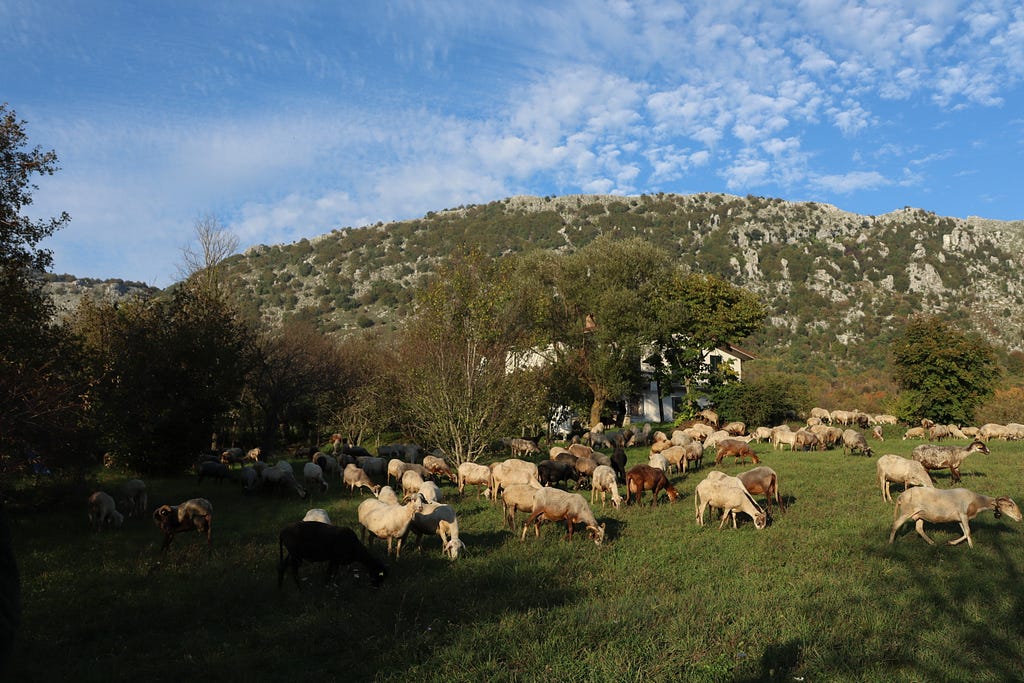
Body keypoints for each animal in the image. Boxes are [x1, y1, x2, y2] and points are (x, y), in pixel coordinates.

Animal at [884, 485, 1019, 548]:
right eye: (1010, 505)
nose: (1020, 517)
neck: (976, 501)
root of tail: (901, 496)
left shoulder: (960, 518)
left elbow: (965, 532)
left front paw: (951, 542)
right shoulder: (963, 515)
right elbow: (968, 532)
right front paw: (972, 547)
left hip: (919, 514)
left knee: (919, 528)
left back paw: (932, 543)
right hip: (907, 511)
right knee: (895, 525)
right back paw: (890, 543)